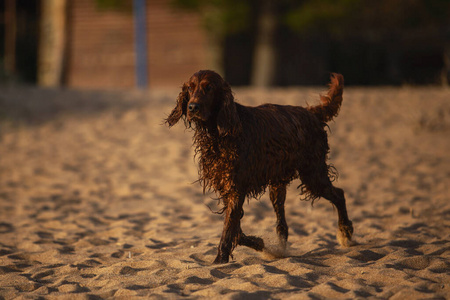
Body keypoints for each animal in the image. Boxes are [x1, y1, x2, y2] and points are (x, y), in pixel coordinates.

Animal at [167, 70, 354, 262]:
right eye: (190, 87)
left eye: (209, 87)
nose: (192, 107)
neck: (220, 133)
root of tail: (311, 113)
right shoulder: (227, 187)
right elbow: (236, 230)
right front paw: (259, 243)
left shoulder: (236, 188)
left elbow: (229, 230)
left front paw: (220, 260)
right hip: (279, 184)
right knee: (282, 222)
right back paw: (280, 249)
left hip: (313, 174)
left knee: (339, 194)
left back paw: (345, 232)